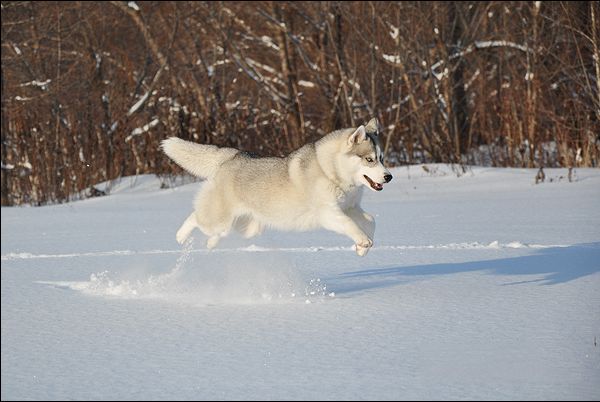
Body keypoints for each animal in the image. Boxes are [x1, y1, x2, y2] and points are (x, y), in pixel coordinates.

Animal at [162, 118, 392, 256]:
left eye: (381, 158)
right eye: (369, 159)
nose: (388, 177)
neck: (330, 170)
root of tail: (234, 155)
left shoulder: (351, 207)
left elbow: (370, 220)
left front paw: (362, 248)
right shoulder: (328, 213)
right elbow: (349, 224)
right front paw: (363, 241)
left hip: (247, 227)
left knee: (219, 232)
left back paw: (211, 244)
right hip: (218, 219)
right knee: (196, 217)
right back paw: (181, 236)